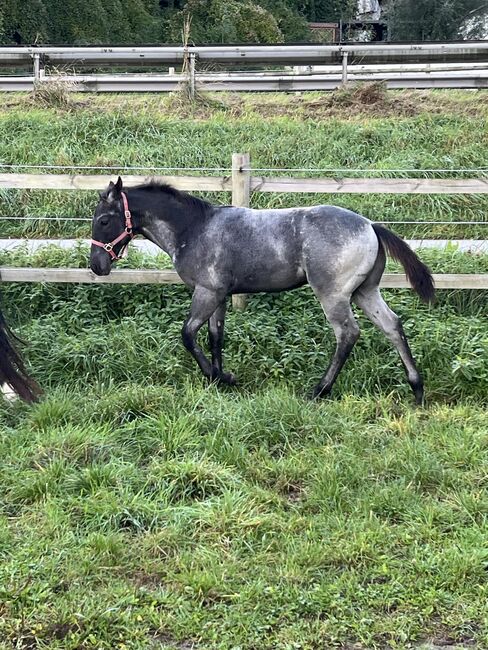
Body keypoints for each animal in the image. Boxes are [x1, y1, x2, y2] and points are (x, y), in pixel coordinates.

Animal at [89, 175, 432, 402]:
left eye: (104, 220)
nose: (96, 266)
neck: (195, 229)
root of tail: (370, 226)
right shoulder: (219, 296)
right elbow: (215, 336)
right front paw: (221, 379)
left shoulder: (206, 292)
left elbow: (187, 334)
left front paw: (217, 376)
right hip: (365, 292)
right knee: (392, 326)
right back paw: (416, 389)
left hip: (333, 295)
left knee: (348, 333)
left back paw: (320, 390)